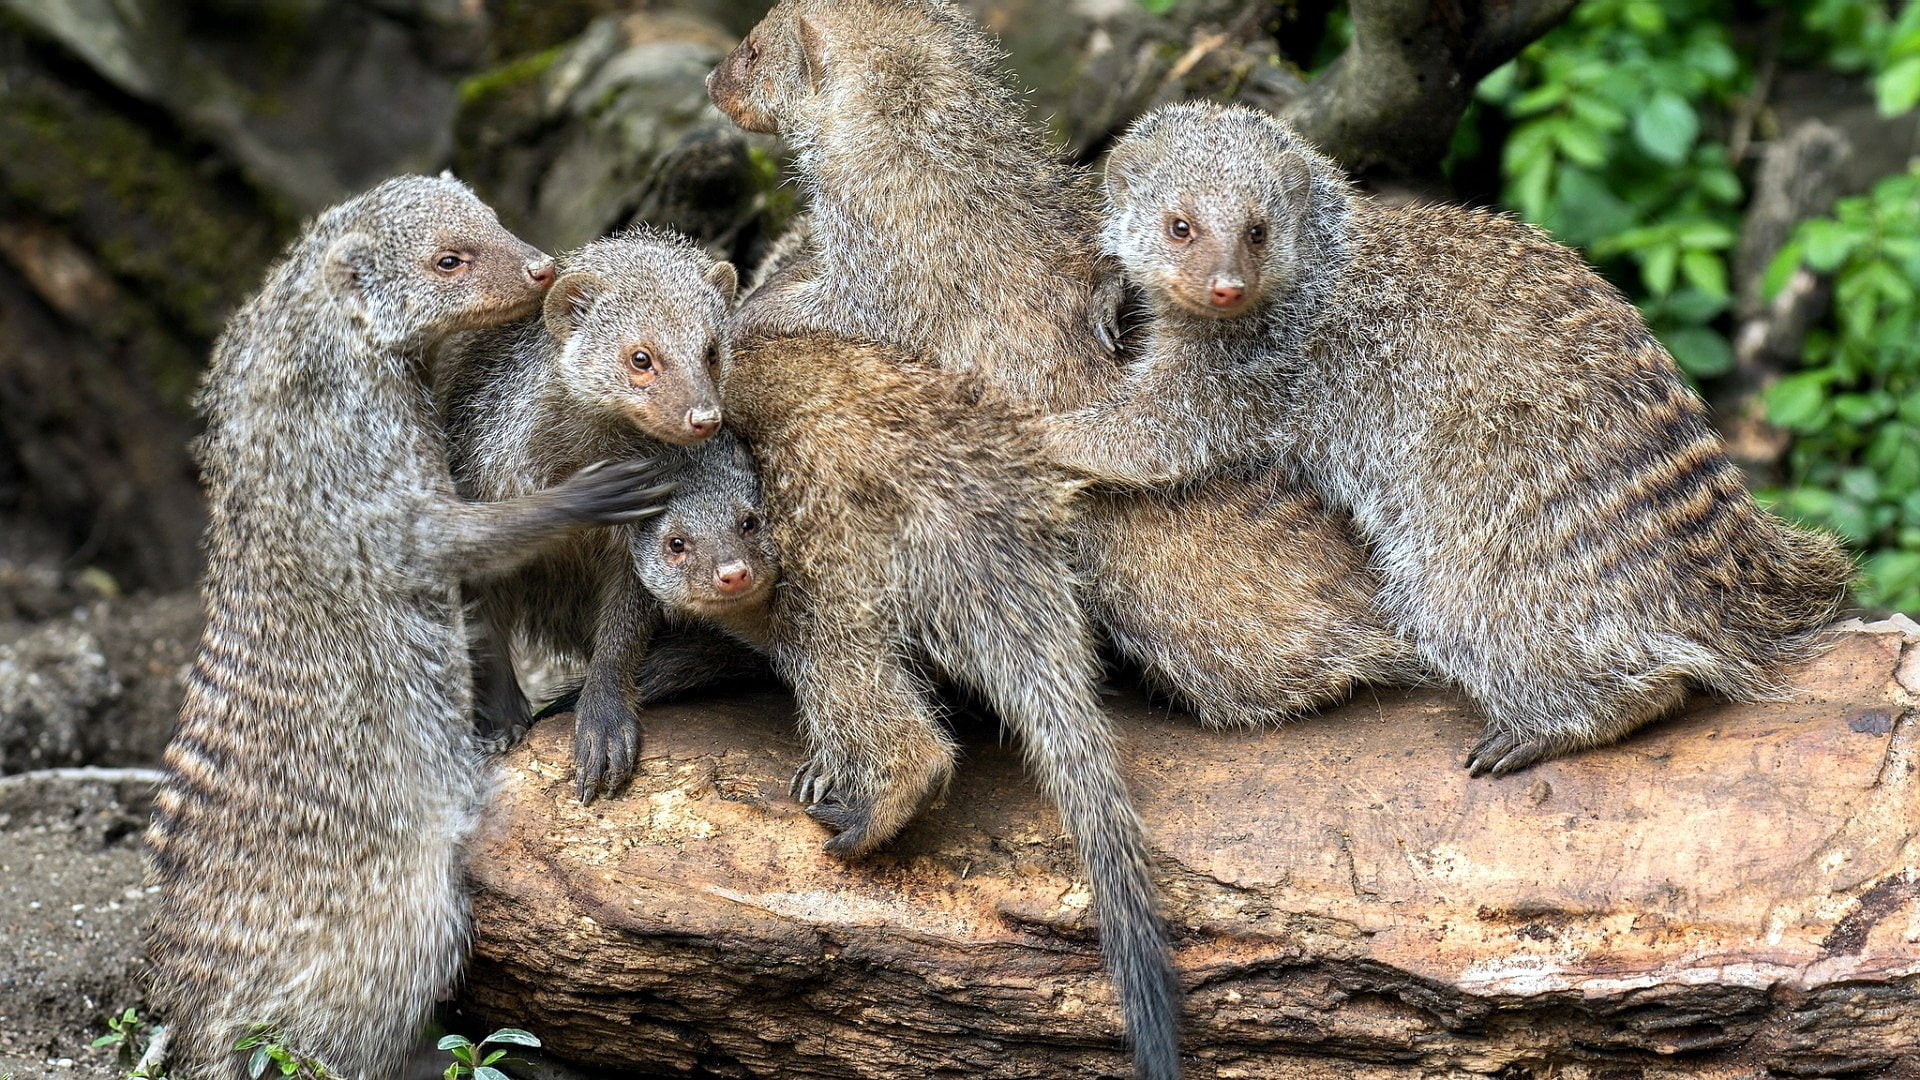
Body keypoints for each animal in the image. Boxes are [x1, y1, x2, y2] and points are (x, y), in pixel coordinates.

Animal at [144, 176, 678, 1080]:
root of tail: (196, 1022)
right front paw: (591, 493)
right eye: (447, 260)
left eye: (492, 219)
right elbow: (446, 536)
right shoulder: (358, 465)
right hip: (407, 907)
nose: (540, 267)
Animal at [437, 226, 738, 801]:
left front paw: (603, 726)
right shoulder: (483, 482)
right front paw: (501, 721)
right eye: (641, 358)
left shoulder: (644, 535)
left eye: (711, 351)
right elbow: (484, 619)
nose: (705, 417)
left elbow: (623, 631)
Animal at [707, 0, 1414, 731]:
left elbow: (831, 307)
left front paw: (751, 311)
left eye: (752, 49)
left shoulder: (884, 269)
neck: (931, 154)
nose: (710, 81)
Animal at [1044, 102, 1855, 775]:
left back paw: (1553, 727)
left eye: (1256, 230)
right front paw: (1116, 288)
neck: (1325, 260)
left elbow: (1158, 435)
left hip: (1488, 543)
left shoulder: (1261, 370)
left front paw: (1034, 428)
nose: (1225, 286)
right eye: (1179, 225)